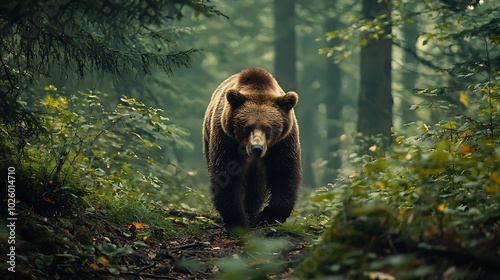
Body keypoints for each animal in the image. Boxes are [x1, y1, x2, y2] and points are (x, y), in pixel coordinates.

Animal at [202, 68, 300, 232]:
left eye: (268, 128)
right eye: (247, 127)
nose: (257, 148)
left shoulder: (283, 143)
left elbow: (284, 173)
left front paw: (265, 217)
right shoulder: (226, 139)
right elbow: (227, 176)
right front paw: (238, 222)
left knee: (256, 187)